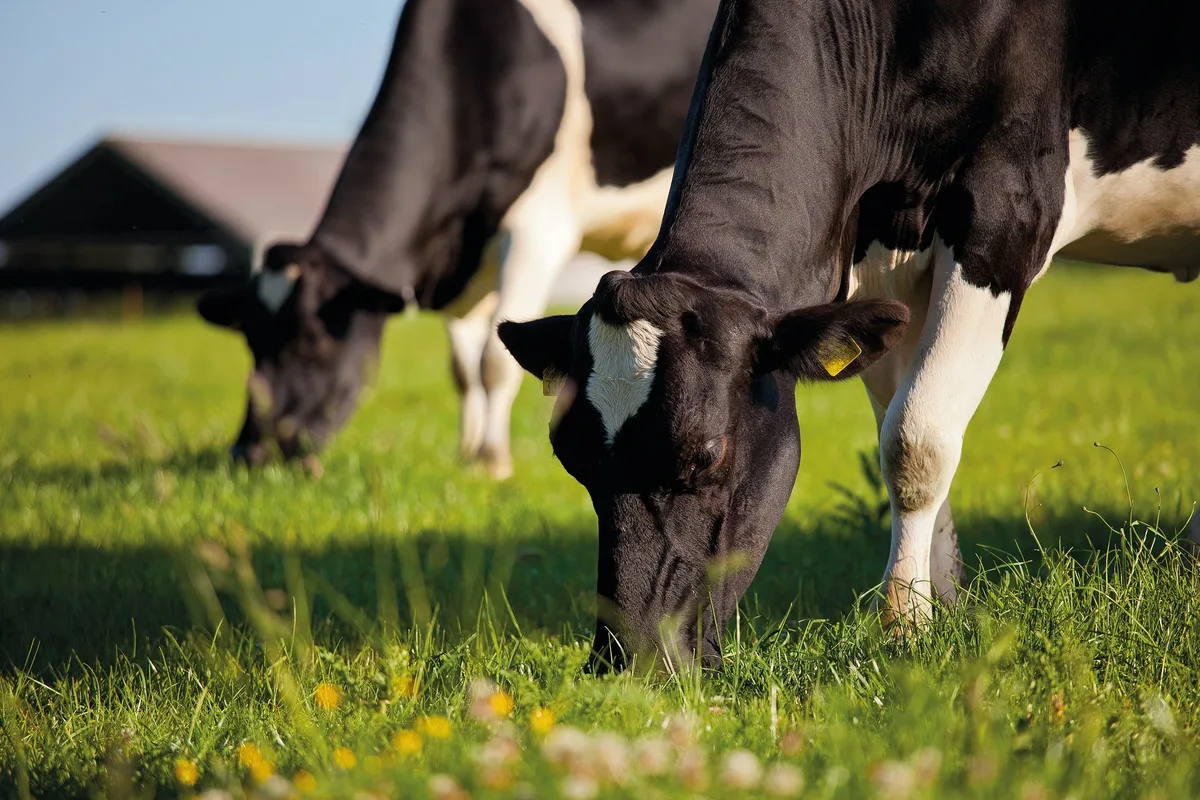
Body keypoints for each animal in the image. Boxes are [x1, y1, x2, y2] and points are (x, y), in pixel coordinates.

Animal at [196, 0, 719, 478]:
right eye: (250, 339)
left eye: (312, 340)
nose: (247, 453)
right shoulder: (462, 262)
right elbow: (463, 370)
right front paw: (467, 455)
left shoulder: (537, 230)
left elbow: (493, 361)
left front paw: (492, 462)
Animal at [498, 0, 1200, 671]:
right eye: (571, 458)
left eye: (706, 454)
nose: (625, 659)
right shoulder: (874, 248)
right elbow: (901, 424)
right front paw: (942, 608)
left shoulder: (1009, 208)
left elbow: (916, 438)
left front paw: (904, 626)